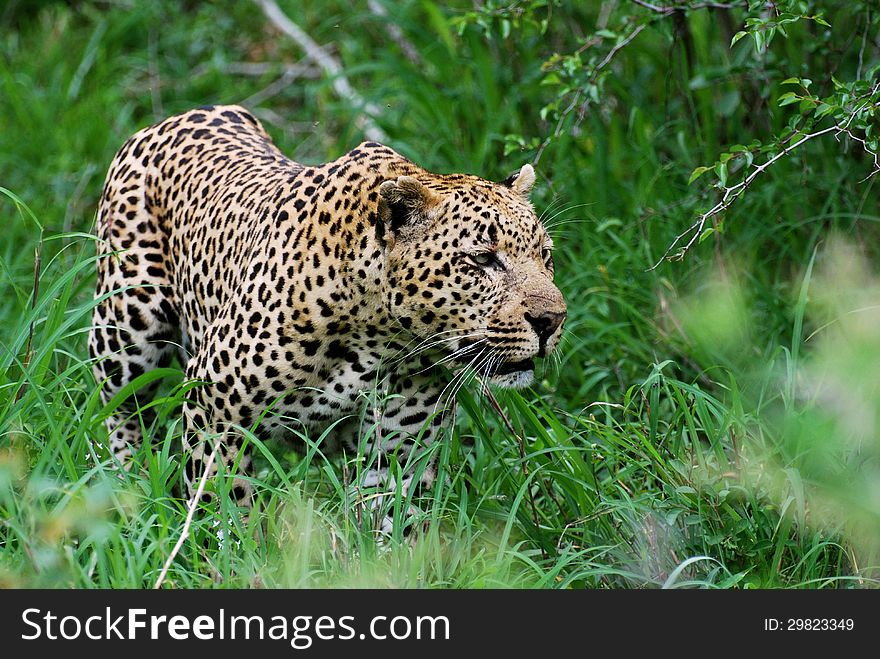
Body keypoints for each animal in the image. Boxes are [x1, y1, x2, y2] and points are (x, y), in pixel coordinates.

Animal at [89, 104, 568, 532]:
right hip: (125, 332)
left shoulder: (395, 453)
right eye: (483, 260)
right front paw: (227, 557)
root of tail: (180, 115)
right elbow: (222, 508)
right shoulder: (214, 410)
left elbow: (388, 530)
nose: (552, 320)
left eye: (544, 255)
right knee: (121, 412)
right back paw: (128, 493)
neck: (383, 336)